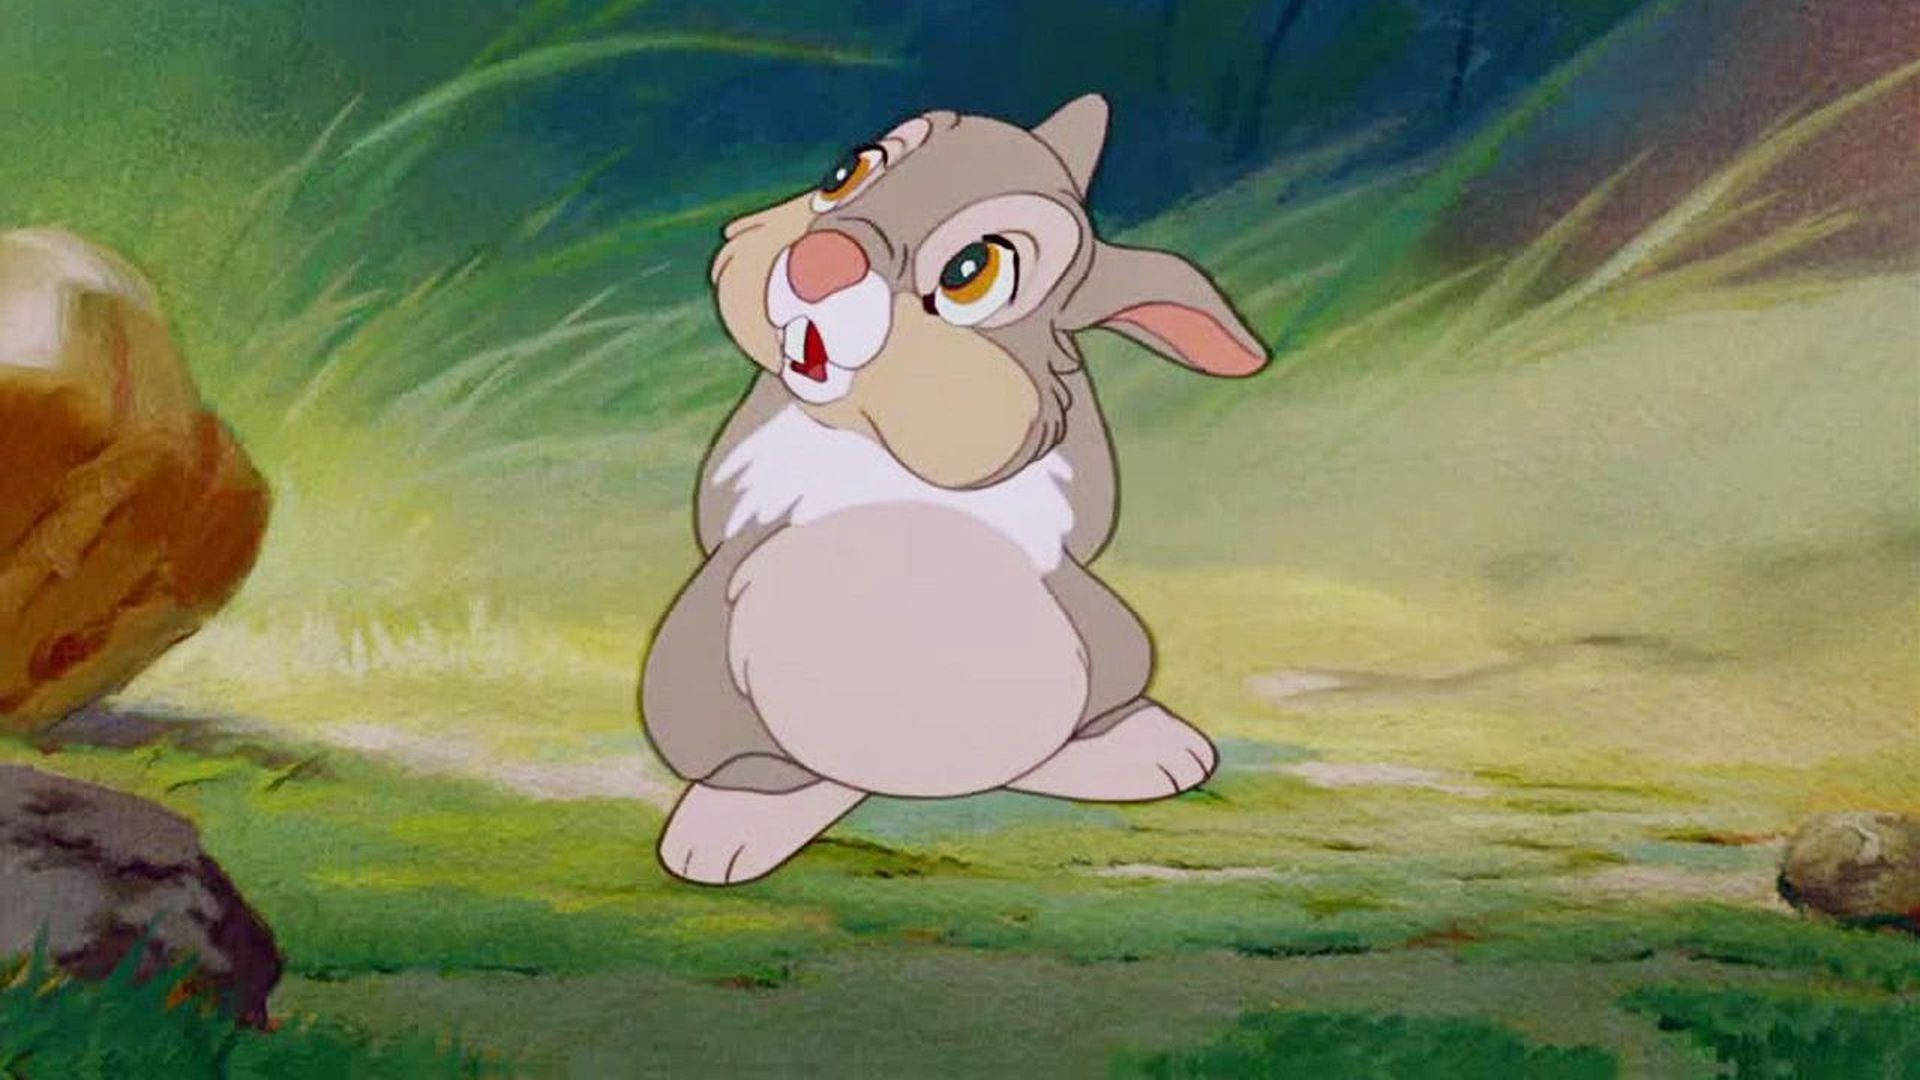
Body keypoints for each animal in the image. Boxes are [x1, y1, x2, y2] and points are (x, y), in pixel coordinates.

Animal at [641, 93, 1268, 885]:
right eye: (846, 173)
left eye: (973, 268)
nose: (821, 261)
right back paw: (734, 826)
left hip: (1107, 641)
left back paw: (1141, 749)